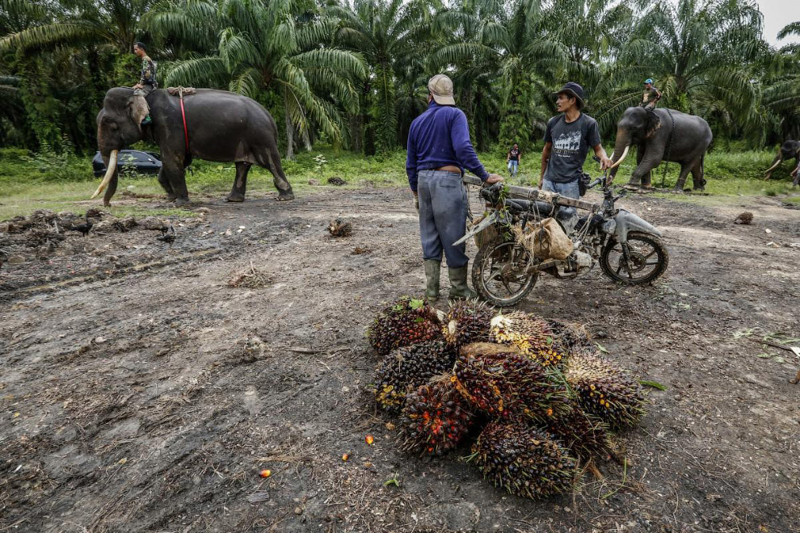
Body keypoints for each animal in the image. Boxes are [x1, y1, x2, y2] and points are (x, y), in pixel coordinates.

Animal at [94, 87, 294, 206]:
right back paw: (233, 199)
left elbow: (172, 158)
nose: (108, 205)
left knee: (270, 162)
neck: (142, 95)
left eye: (111, 125)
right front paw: (171, 197)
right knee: (242, 166)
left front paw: (180, 203)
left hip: (260, 136)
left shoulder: (169, 125)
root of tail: (268, 116)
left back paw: (284, 197)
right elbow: (179, 161)